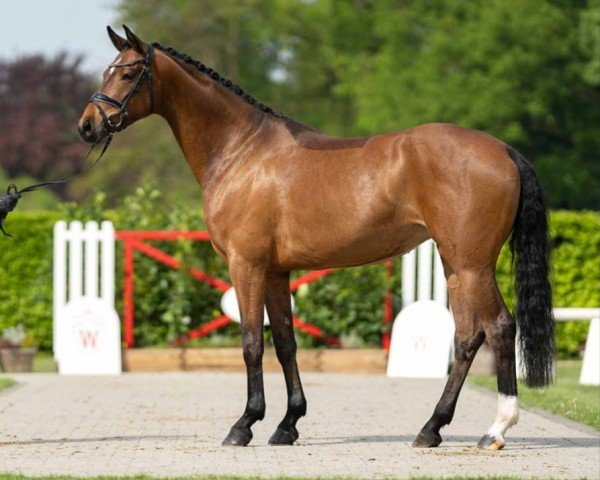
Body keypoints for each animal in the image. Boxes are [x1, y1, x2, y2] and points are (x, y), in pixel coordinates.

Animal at [78, 28, 552, 452]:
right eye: (106, 70)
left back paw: (495, 430)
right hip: (455, 265)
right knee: (468, 337)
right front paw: (287, 424)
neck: (241, 151)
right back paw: (430, 429)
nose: (87, 126)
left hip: (472, 265)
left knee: (499, 327)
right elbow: (285, 344)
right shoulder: (275, 271)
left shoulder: (245, 265)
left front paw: (244, 425)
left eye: (128, 73)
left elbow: (251, 343)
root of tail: (504, 151)